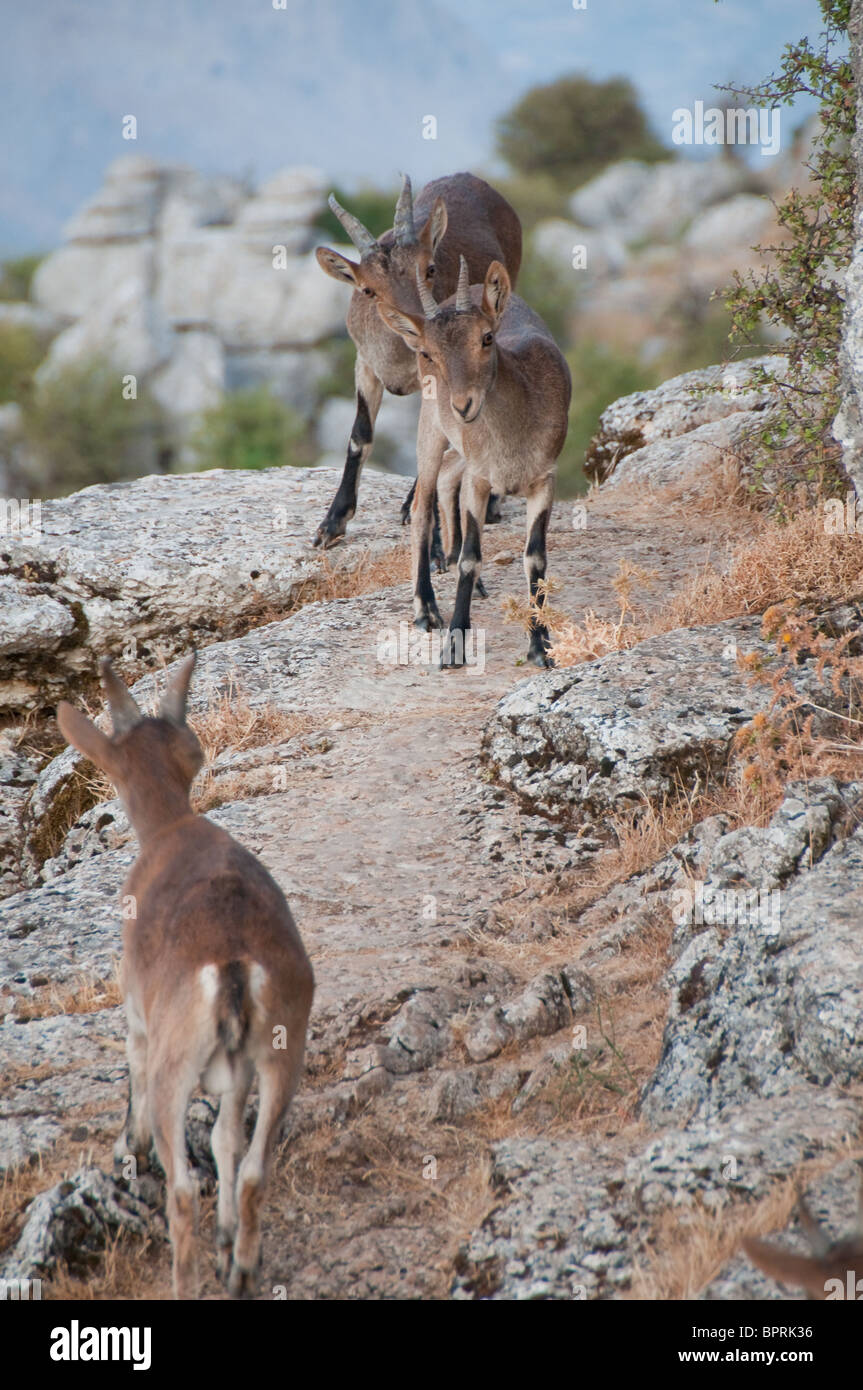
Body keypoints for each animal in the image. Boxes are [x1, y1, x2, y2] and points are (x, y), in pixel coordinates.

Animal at [56, 655, 314, 1299]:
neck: (172, 827)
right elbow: (225, 1140)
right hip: (282, 1053)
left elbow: (132, 1069)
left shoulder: (136, 1010)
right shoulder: (240, 1071)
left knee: (181, 1187)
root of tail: (232, 968)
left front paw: (127, 1146)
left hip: (176, 1064)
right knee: (252, 1166)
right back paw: (239, 1265)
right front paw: (225, 1241)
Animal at [313, 172, 521, 549]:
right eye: (368, 290)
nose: (420, 330)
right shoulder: (365, 364)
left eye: (430, 269)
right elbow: (360, 435)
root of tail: (469, 178)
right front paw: (332, 523)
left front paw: (435, 536)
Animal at [377, 256, 571, 668]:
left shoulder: (544, 479)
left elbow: (535, 559)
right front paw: (454, 645)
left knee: (448, 479)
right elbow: (471, 557)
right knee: (422, 505)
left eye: (486, 338)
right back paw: (426, 610)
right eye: (428, 352)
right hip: (431, 427)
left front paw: (540, 646)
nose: (463, 405)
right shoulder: (481, 478)